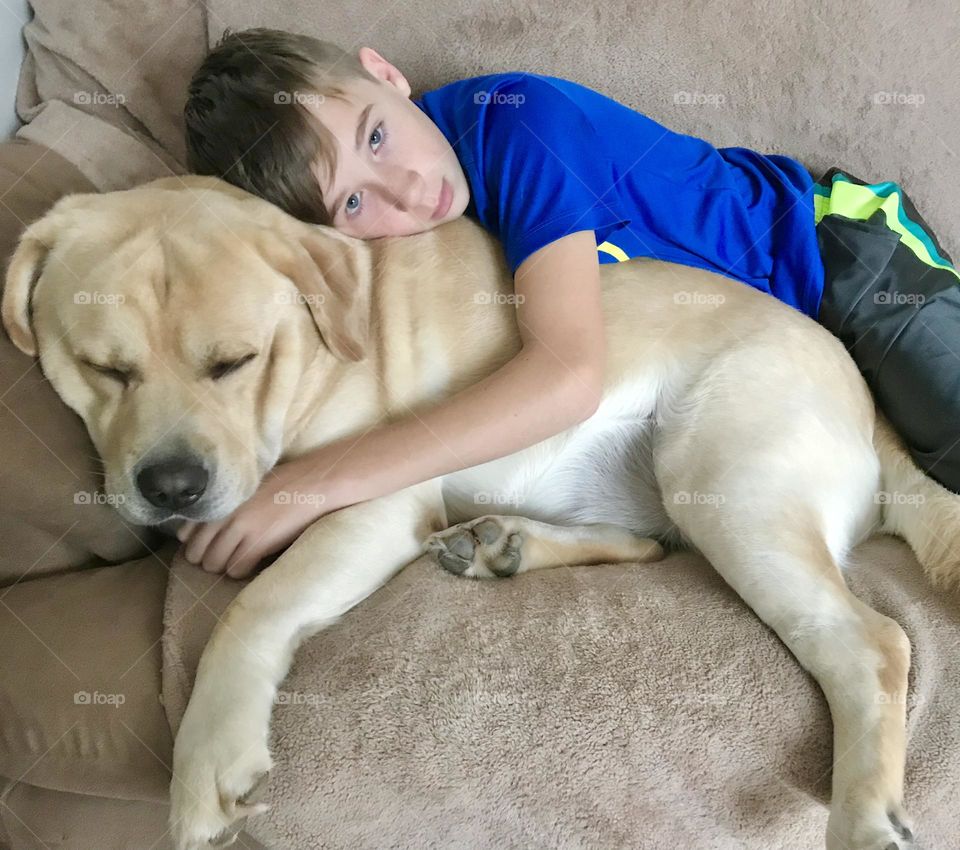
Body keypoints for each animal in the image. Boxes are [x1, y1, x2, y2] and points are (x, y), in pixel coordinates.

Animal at [3, 174, 956, 848]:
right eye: (102, 368)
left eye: (236, 362)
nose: (171, 487)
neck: (324, 327)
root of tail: (870, 404)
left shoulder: (374, 503)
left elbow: (252, 609)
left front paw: (207, 759)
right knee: (650, 550)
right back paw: (506, 545)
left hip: (725, 476)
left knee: (873, 643)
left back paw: (864, 816)